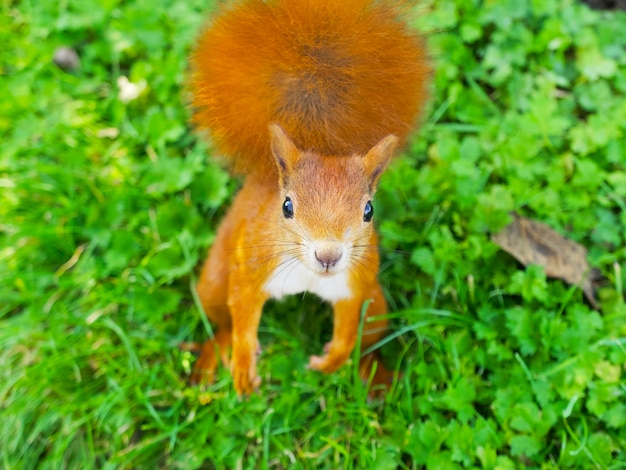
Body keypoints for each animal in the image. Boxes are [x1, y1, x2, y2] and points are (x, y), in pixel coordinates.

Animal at [185, 0, 428, 396]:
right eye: (287, 206)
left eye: (368, 210)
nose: (328, 256)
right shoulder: (252, 265)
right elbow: (243, 311)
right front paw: (243, 366)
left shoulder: (354, 285)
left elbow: (347, 326)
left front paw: (330, 361)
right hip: (213, 281)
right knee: (222, 320)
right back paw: (212, 357)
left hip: (377, 303)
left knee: (368, 337)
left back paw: (373, 375)